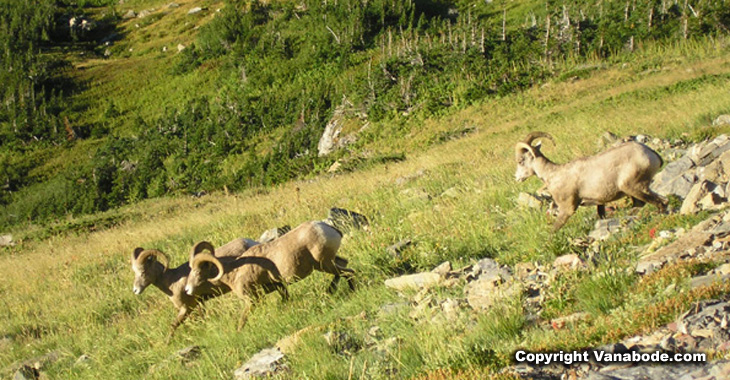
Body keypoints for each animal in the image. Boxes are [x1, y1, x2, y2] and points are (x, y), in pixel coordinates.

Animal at [129, 236, 258, 340]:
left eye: (143, 271)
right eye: (134, 272)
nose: (135, 290)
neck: (172, 282)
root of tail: (250, 242)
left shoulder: (186, 308)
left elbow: (173, 325)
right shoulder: (199, 304)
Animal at [182, 221, 352, 328]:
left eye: (197, 271)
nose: (187, 290)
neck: (235, 272)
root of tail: (328, 228)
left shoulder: (252, 300)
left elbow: (242, 321)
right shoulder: (279, 287)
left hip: (324, 264)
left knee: (348, 273)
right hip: (329, 263)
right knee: (345, 266)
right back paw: (331, 291)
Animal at [512, 132, 664, 230]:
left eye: (520, 161)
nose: (517, 178)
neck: (553, 174)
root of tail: (651, 154)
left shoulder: (567, 209)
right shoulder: (600, 203)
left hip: (632, 187)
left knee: (661, 202)